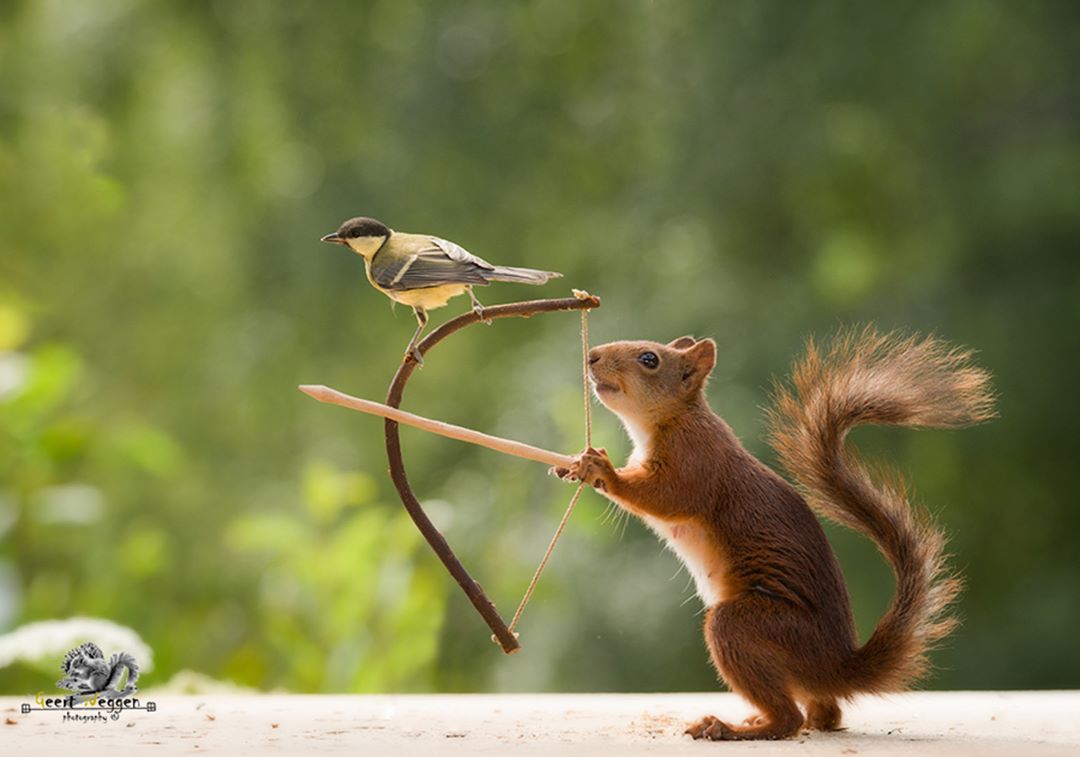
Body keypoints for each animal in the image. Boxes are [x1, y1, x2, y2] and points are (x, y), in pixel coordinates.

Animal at [557, 326, 993, 738]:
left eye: (649, 359)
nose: (591, 356)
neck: (672, 420)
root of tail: (835, 666)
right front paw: (576, 464)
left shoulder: (696, 461)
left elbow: (663, 496)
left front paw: (601, 468)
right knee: (825, 715)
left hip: (751, 629)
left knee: (790, 719)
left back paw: (731, 729)